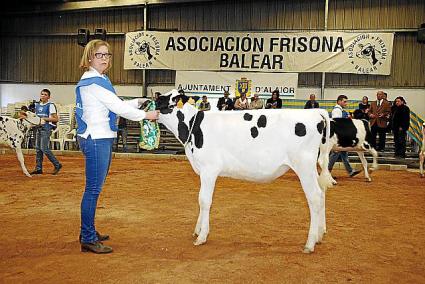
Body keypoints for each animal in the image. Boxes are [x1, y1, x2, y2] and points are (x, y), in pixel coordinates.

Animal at [157, 89, 334, 253]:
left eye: (166, 99)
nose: (152, 101)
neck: (194, 127)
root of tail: (315, 112)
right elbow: (201, 200)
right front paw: (198, 230)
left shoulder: (209, 169)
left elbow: (204, 200)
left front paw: (201, 236)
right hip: (311, 168)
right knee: (322, 193)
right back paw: (319, 235)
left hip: (303, 166)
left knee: (315, 197)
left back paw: (310, 244)